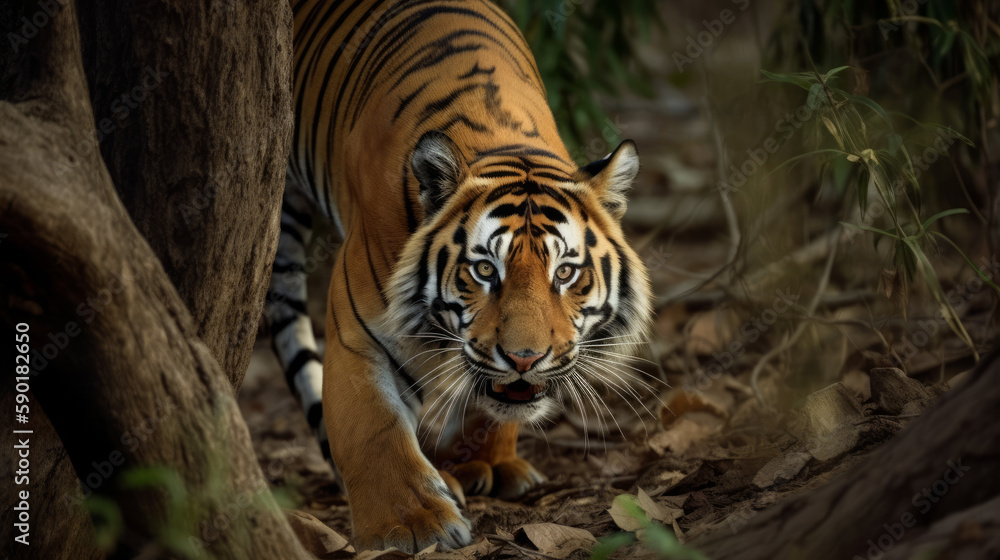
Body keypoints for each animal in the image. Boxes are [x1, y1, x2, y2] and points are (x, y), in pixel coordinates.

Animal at [266, 0, 653, 552]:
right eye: (485, 269)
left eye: (565, 272)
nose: (524, 358)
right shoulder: (358, 329)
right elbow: (372, 426)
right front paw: (411, 525)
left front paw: (484, 460)